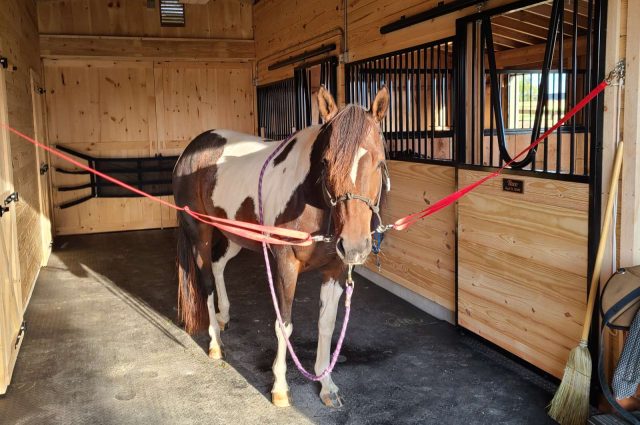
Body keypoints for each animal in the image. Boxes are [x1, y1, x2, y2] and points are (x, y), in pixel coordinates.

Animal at [171, 86, 390, 408]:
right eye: (326, 162)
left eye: (379, 162)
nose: (354, 246)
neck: (313, 200)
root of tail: (190, 151)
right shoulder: (286, 265)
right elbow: (283, 325)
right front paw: (280, 388)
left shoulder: (336, 269)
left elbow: (327, 324)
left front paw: (326, 385)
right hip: (200, 233)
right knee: (206, 282)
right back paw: (215, 344)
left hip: (235, 235)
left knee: (219, 266)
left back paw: (224, 317)